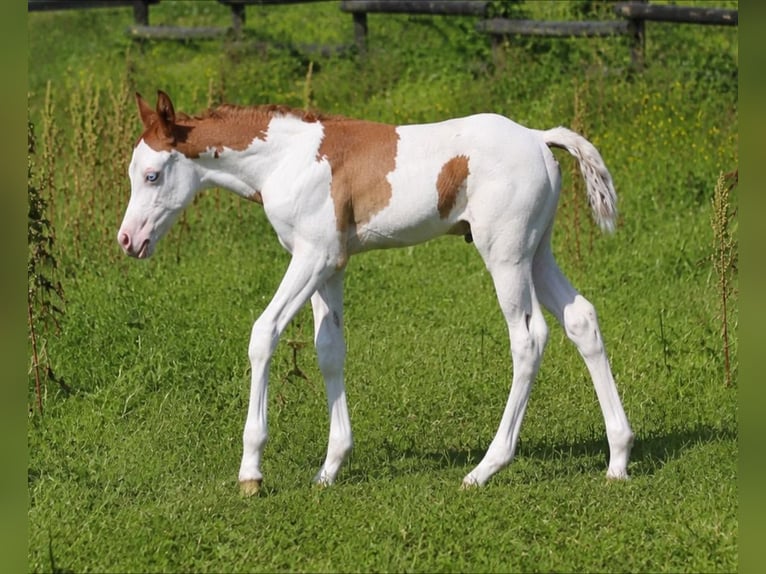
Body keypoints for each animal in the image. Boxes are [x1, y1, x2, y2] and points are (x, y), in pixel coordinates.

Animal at [118, 91, 633, 495]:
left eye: (152, 175)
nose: (127, 240)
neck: (286, 160)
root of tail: (538, 137)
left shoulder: (313, 256)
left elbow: (264, 334)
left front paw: (251, 472)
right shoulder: (330, 265)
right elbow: (329, 349)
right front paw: (330, 468)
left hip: (505, 254)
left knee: (528, 338)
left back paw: (486, 468)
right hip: (536, 251)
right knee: (582, 319)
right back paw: (618, 458)